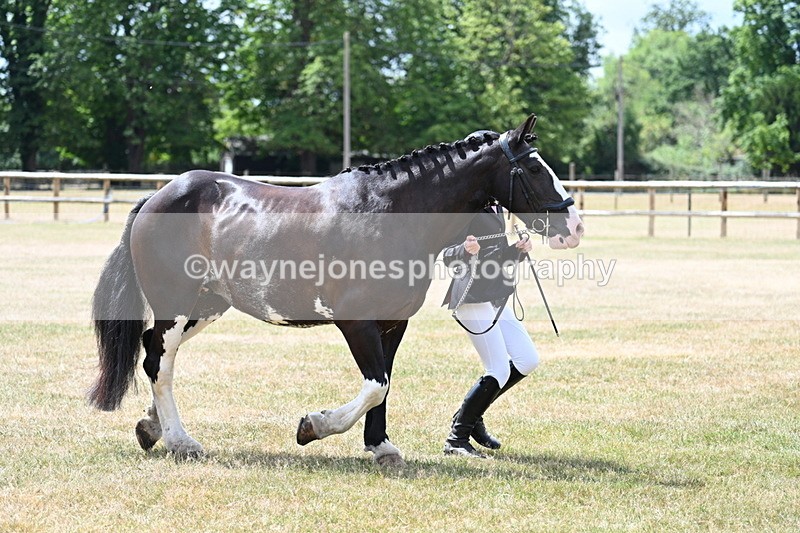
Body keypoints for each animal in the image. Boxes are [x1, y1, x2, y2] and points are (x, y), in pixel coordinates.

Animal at [88, 113, 584, 466]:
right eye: (533, 168)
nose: (575, 226)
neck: (391, 214)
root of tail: (157, 197)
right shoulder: (355, 322)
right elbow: (374, 385)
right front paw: (314, 426)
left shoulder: (392, 324)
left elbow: (385, 383)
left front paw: (381, 446)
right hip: (175, 303)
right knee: (158, 361)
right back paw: (180, 440)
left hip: (206, 305)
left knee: (159, 353)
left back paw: (152, 427)